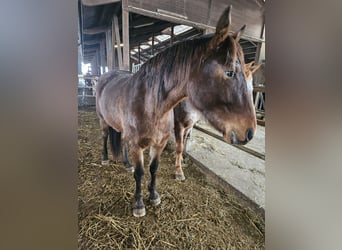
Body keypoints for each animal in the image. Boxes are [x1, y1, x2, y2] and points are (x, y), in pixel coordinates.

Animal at [96, 5, 256, 217]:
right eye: (230, 72)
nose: (250, 132)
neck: (151, 106)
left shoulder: (160, 143)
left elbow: (154, 168)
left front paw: (154, 195)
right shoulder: (139, 145)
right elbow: (141, 173)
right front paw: (138, 204)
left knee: (122, 141)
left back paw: (126, 164)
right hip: (103, 121)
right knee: (105, 136)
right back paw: (106, 159)